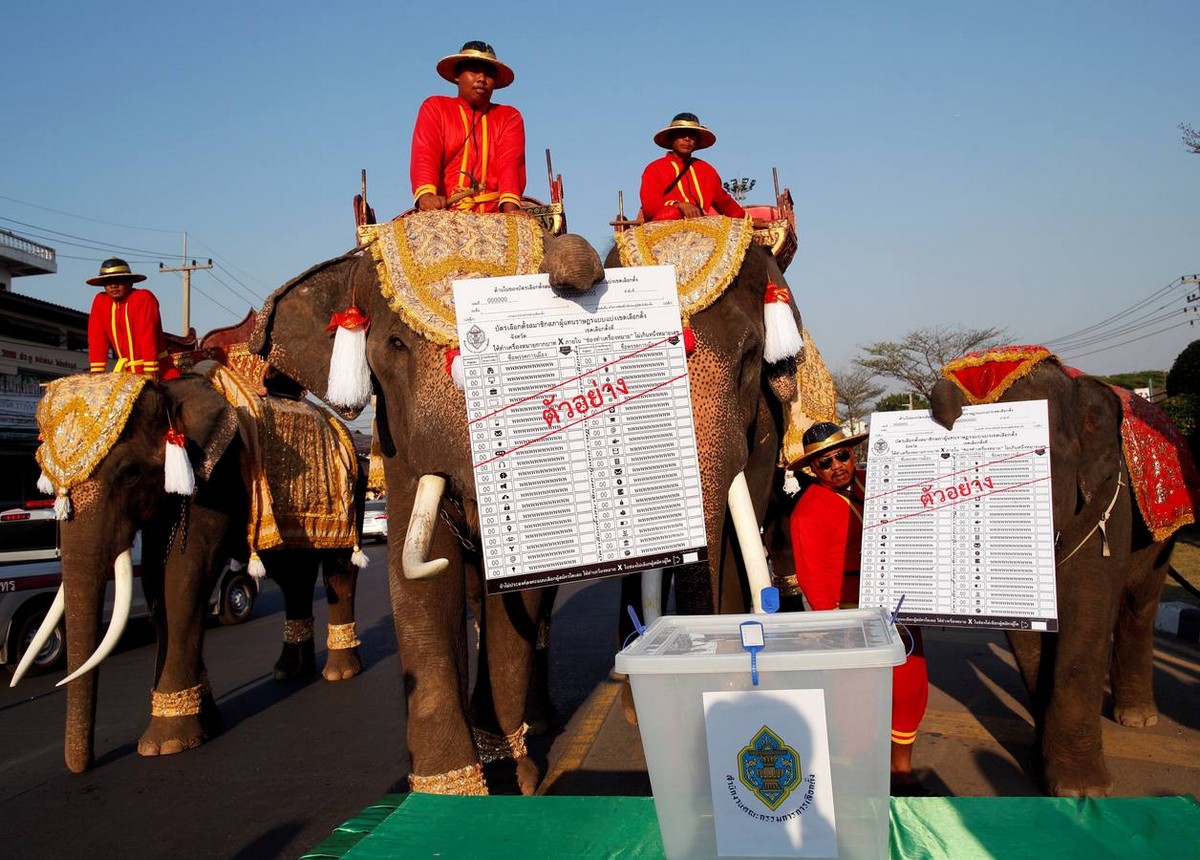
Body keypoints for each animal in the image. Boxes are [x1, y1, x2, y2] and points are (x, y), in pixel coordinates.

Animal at [14, 367, 367, 772]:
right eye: (45, 477)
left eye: (128, 473)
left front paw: (165, 744)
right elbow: (155, 580)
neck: (173, 390)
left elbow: (183, 574)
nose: (82, 767)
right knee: (292, 575)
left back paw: (339, 672)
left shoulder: (218, 478)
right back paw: (288, 671)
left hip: (351, 491)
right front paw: (203, 720)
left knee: (339, 567)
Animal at [253, 206, 609, 791]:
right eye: (395, 344)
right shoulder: (396, 441)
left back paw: (538, 723)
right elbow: (419, 578)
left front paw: (513, 776)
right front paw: (449, 784)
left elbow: (515, 597)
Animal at [926, 350, 1200, 796]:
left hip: (1164, 533)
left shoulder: (1109, 493)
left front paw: (1081, 790)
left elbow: (1085, 606)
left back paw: (1137, 717)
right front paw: (1043, 762)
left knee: (1140, 601)